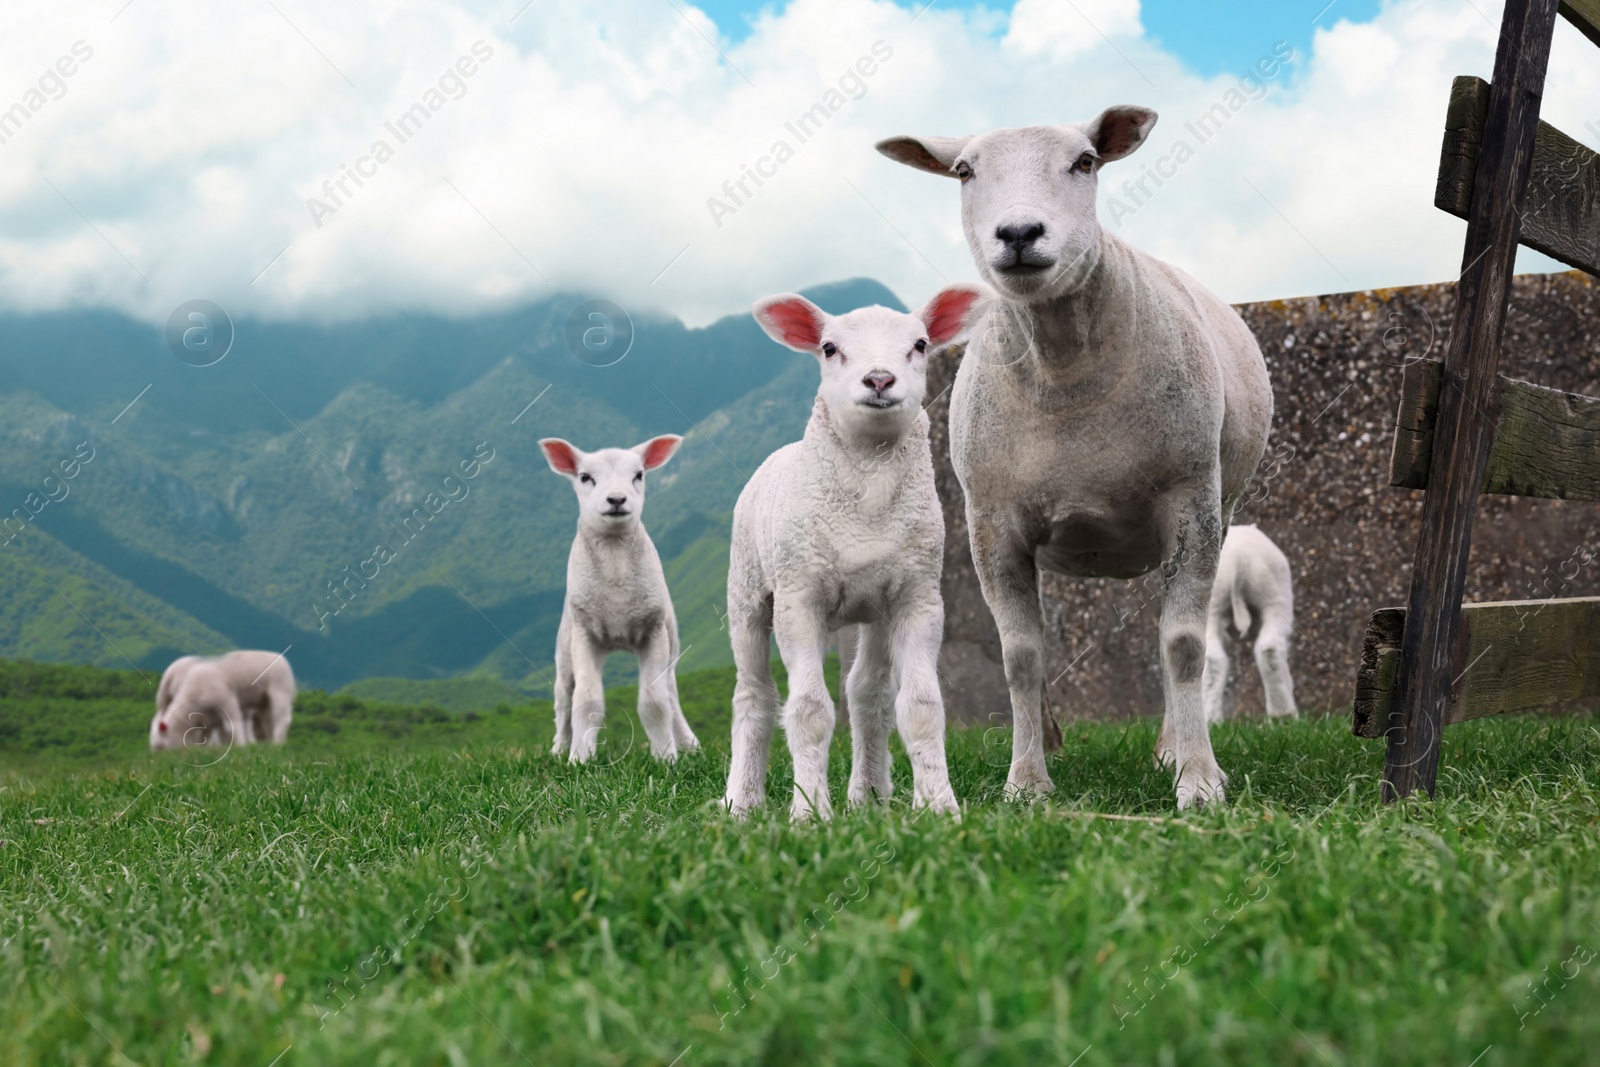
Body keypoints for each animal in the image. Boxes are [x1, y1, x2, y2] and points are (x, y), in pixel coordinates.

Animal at [152, 652, 300, 751]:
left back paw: (277, 743)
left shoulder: (226, 698)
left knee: (281, 718)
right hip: (263, 701)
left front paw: (240, 746)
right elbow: (210, 733)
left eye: (161, 746)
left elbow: (232, 725)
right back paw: (270, 743)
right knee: (267, 721)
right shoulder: (208, 717)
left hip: (279, 689)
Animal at [540, 428, 697, 764]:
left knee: (671, 695)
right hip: (564, 654)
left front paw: (667, 758)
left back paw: (690, 744)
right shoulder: (585, 634)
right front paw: (579, 759)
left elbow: (655, 702)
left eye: (639, 475)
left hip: (672, 648)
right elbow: (586, 701)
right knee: (563, 701)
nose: (616, 499)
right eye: (585, 477)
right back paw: (558, 749)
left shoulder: (653, 630)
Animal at [720, 287, 979, 825]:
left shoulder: (919, 597)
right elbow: (809, 710)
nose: (879, 379)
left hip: (874, 607)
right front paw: (809, 813)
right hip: (748, 592)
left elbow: (921, 706)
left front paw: (939, 805)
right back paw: (742, 800)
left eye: (920, 345)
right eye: (829, 348)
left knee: (867, 692)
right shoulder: (799, 599)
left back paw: (870, 795)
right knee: (755, 694)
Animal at [1203, 524, 1299, 726]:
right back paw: (1283, 714)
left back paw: (1211, 719)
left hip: (1211, 603)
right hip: (1276, 600)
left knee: (1213, 659)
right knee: (1270, 650)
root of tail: (1239, 560)